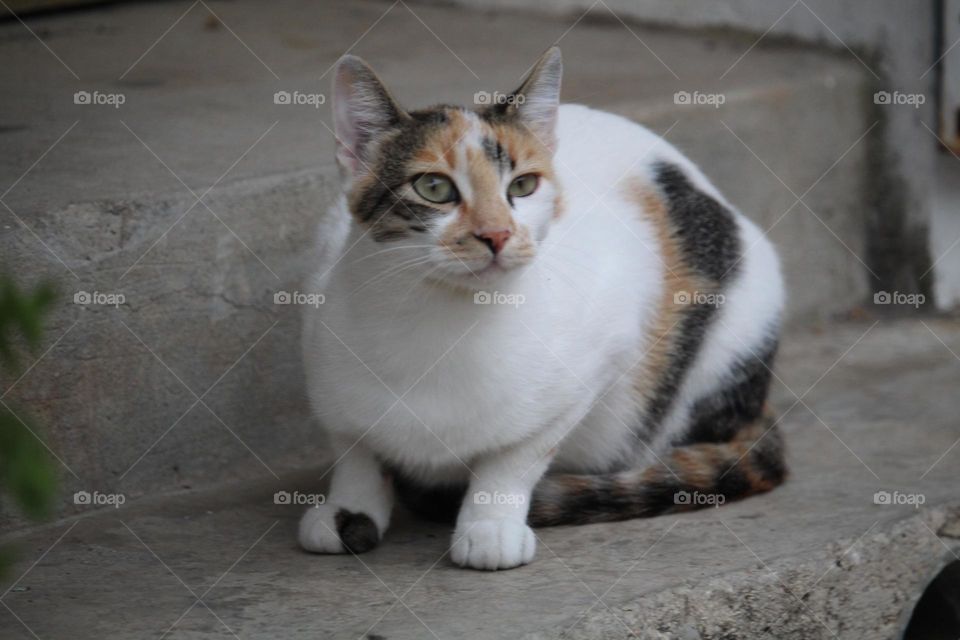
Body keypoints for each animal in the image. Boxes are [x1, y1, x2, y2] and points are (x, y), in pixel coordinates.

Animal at [300, 48, 788, 568]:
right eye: (433, 187)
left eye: (523, 186)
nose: (496, 234)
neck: (440, 322)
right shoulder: (321, 346)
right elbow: (355, 448)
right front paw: (348, 509)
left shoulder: (598, 358)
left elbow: (516, 456)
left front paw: (489, 525)